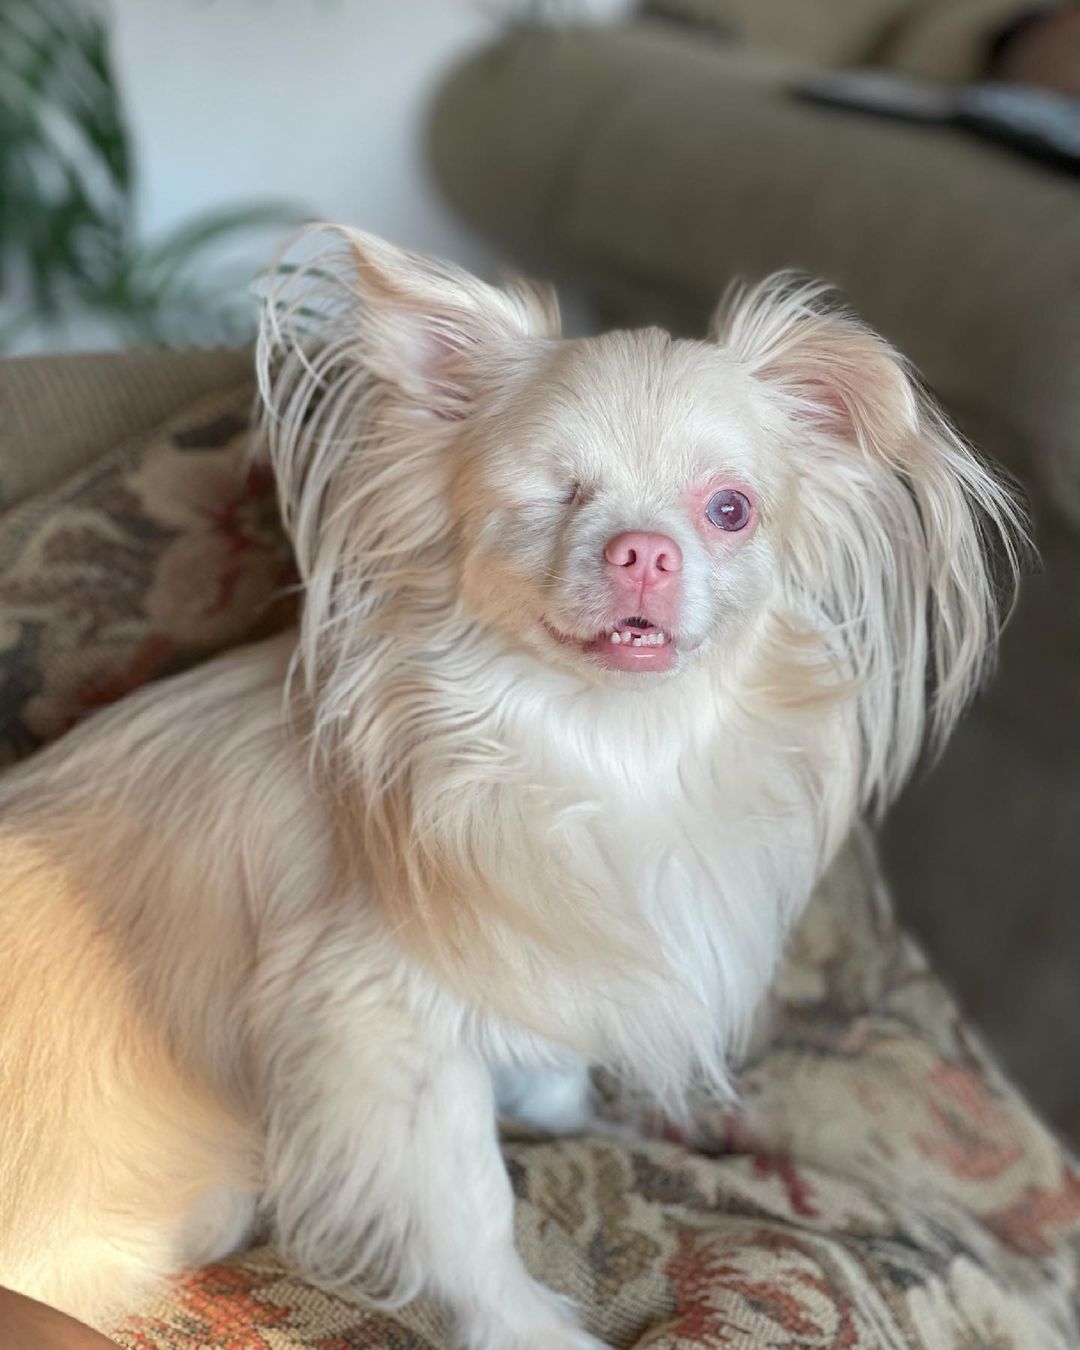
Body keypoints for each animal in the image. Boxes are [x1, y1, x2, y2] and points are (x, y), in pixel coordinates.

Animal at [0, 226, 1020, 1344]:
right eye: (557, 496)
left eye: (731, 510)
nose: (644, 550)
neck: (608, 742)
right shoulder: (383, 1032)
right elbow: (465, 1202)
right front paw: (528, 1323)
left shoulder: (549, 950)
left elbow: (556, 1059)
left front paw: (576, 1118)